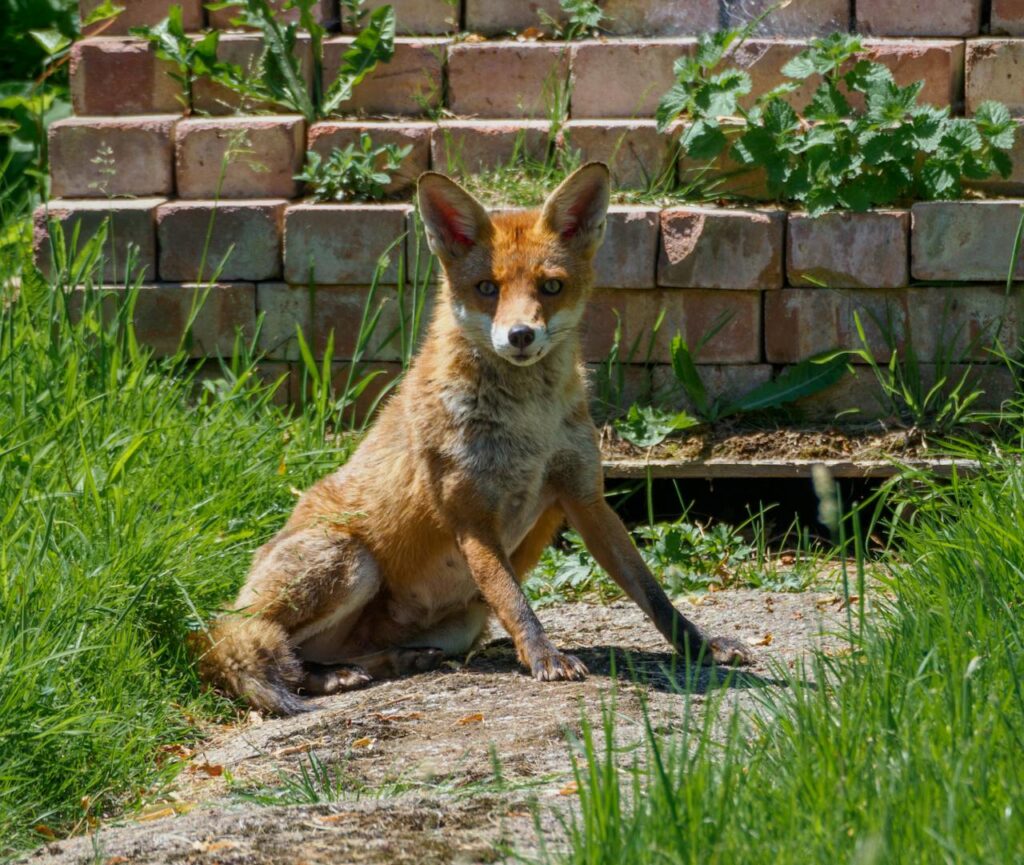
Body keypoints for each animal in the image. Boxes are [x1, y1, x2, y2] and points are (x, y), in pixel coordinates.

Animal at [197, 163, 753, 716]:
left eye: (551, 287)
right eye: (487, 287)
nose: (520, 335)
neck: (530, 425)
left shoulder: (585, 498)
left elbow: (652, 593)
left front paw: (702, 646)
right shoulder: (470, 514)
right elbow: (514, 598)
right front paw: (545, 657)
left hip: (460, 623)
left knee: (322, 651)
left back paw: (387, 662)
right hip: (350, 562)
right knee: (241, 644)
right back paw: (324, 675)